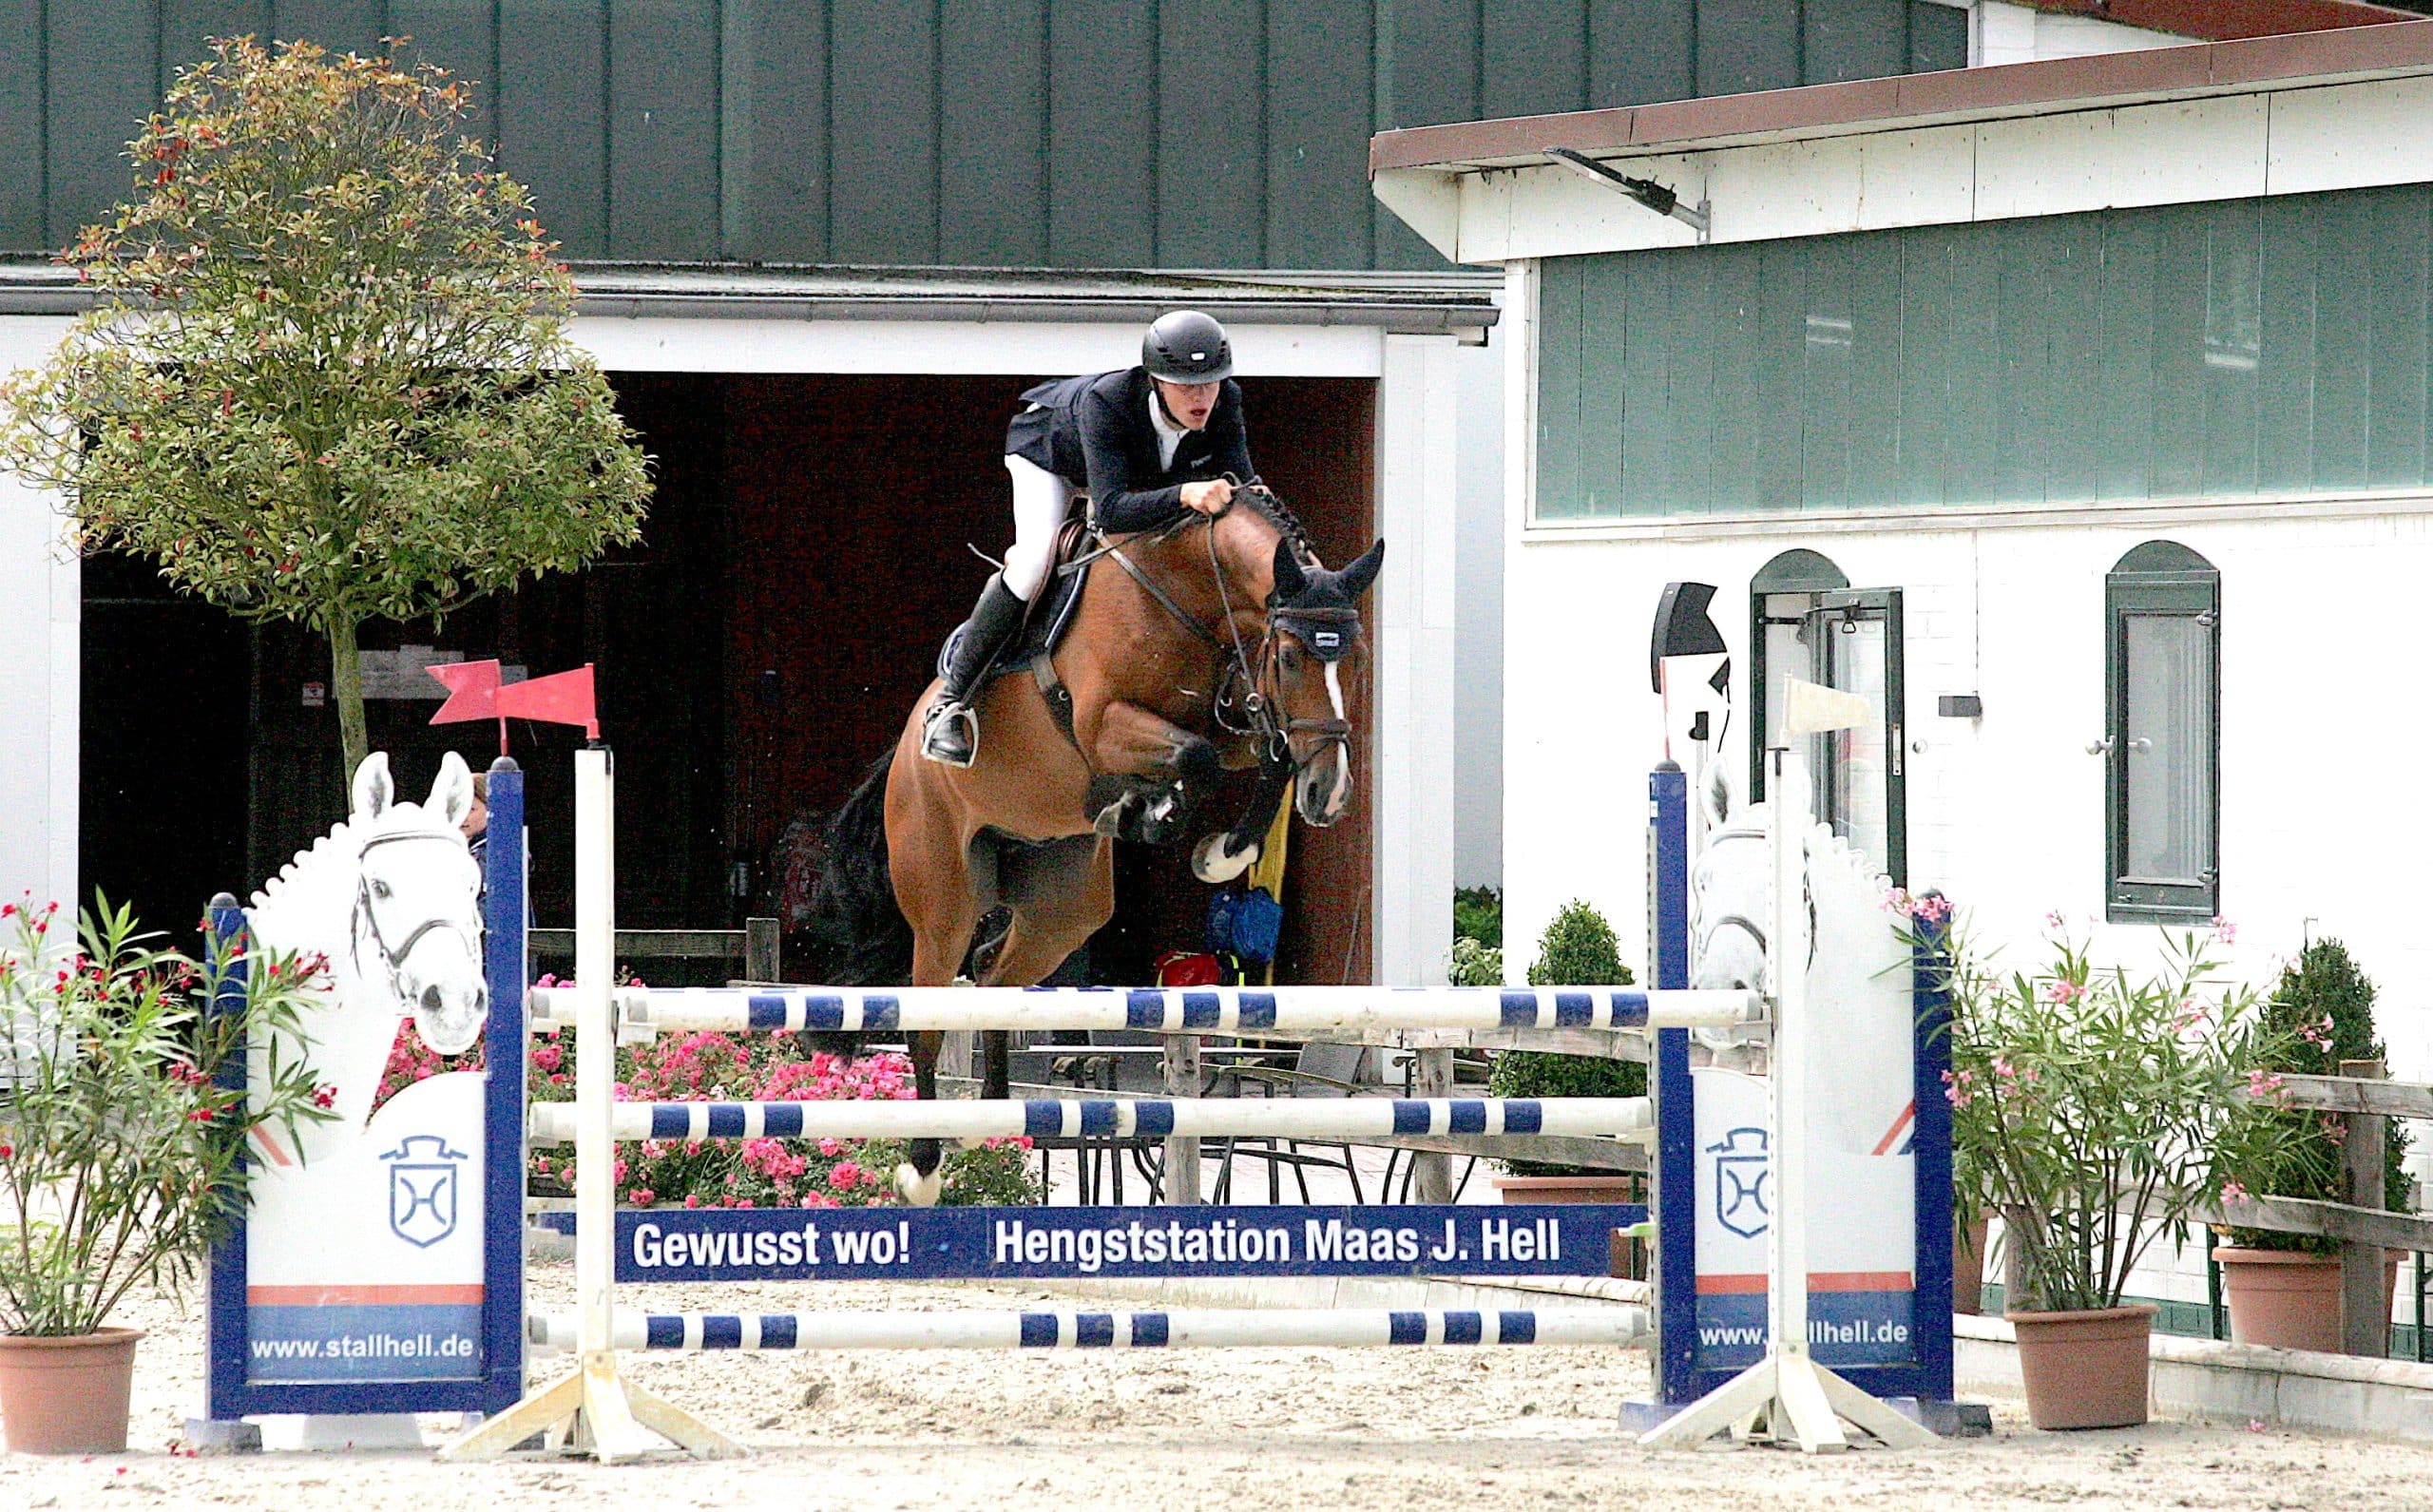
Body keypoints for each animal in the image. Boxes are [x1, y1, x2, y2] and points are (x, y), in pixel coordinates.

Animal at [783, 484, 1382, 1202]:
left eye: (1356, 659)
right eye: (1291, 657)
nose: (1332, 796)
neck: (1187, 596)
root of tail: (903, 752)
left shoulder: (1240, 714)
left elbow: (1263, 756)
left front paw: (1217, 851)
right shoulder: (1106, 724)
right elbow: (1199, 757)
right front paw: (1152, 813)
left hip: (1062, 913)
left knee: (991, 978)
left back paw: (988, 1120)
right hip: (943, 900)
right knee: (930, 1020)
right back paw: (923, 1167)